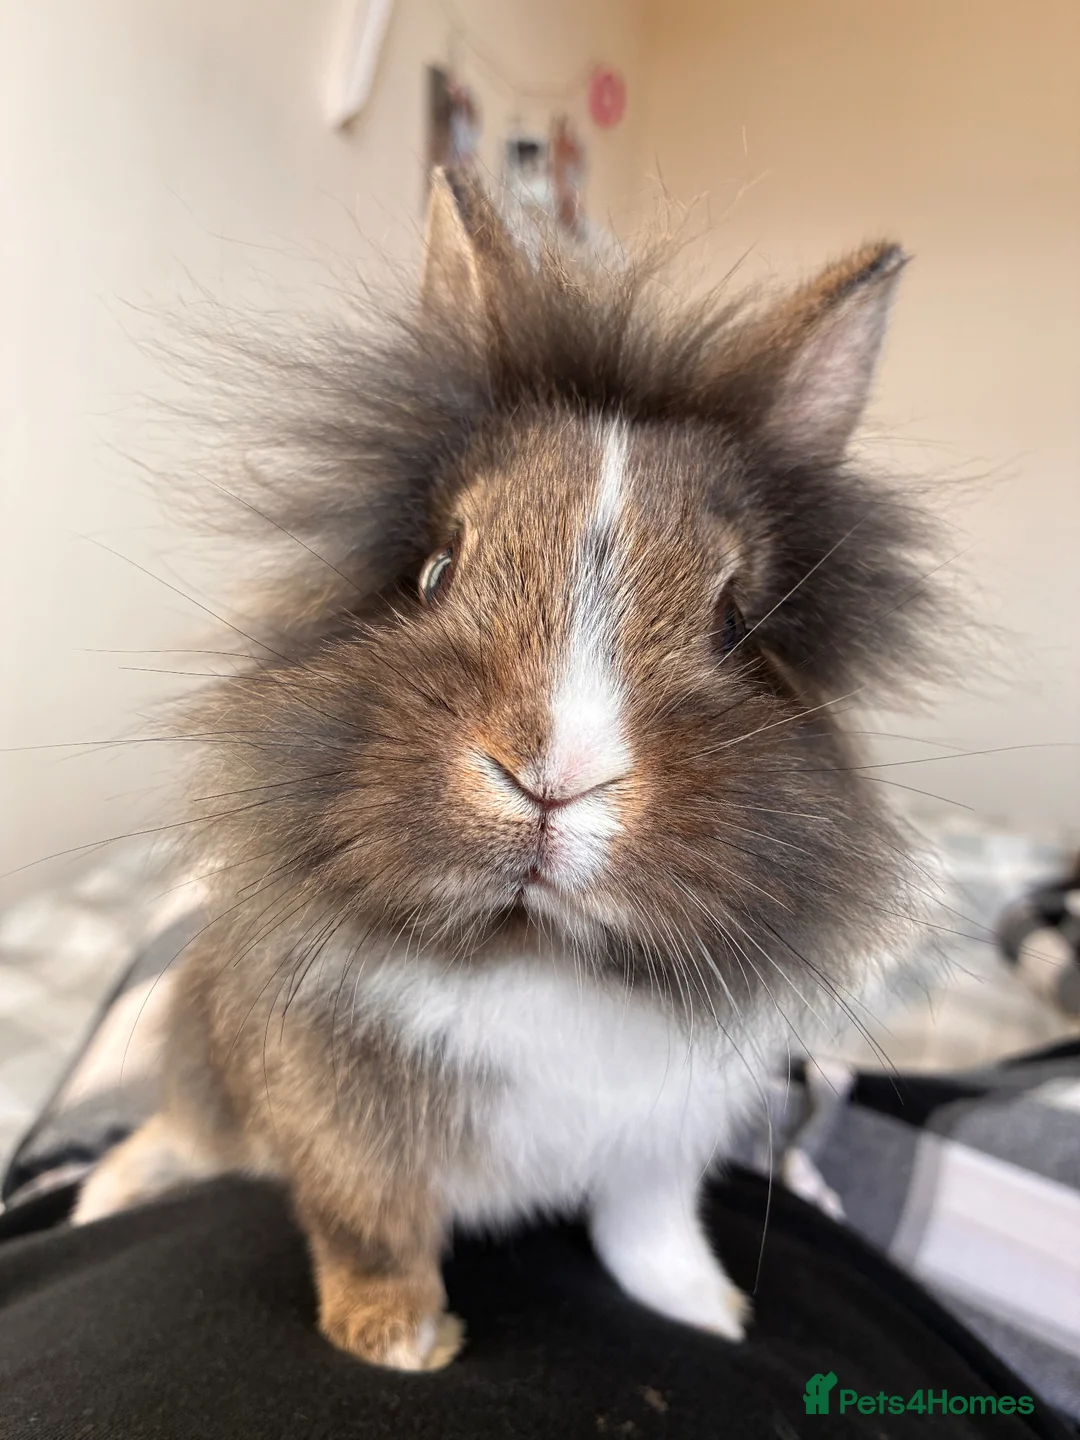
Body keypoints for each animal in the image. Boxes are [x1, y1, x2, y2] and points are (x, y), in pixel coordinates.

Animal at [73, 169, 939, 1372]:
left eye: (733, 625)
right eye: (436, 570)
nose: (553, 777)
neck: (533, 952)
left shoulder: (661, 1145)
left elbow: (647, 1228)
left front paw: (707, 1312)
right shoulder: (335, 1120)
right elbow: (369, 1222)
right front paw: (396, 1340)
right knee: (178, 1136)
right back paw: (101, 1195)